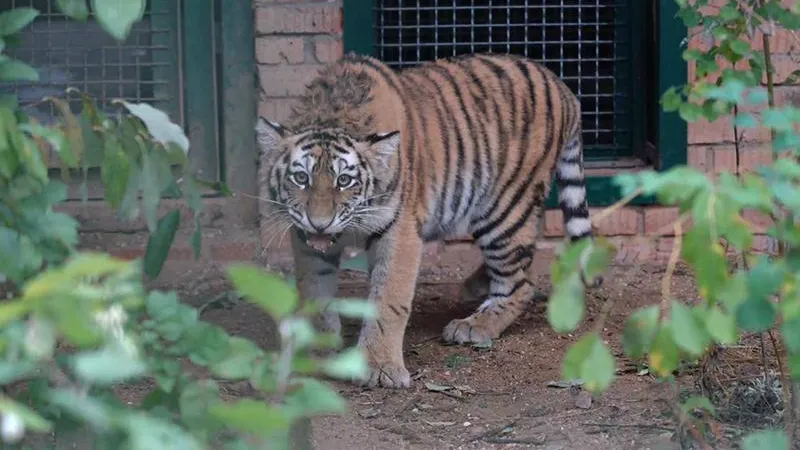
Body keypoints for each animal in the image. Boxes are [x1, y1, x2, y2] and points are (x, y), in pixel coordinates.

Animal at [260, 52, 596, 388]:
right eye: (300, 178)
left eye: (344, 180)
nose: (319, 222)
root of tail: (562, 87)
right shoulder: (304, 237)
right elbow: (314, 293)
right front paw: (315, 353)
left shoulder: (399, 228)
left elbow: (389, 299)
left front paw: (380, 367)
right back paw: (475, 286)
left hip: (504, 208)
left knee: (521, 283)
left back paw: (475, 325)